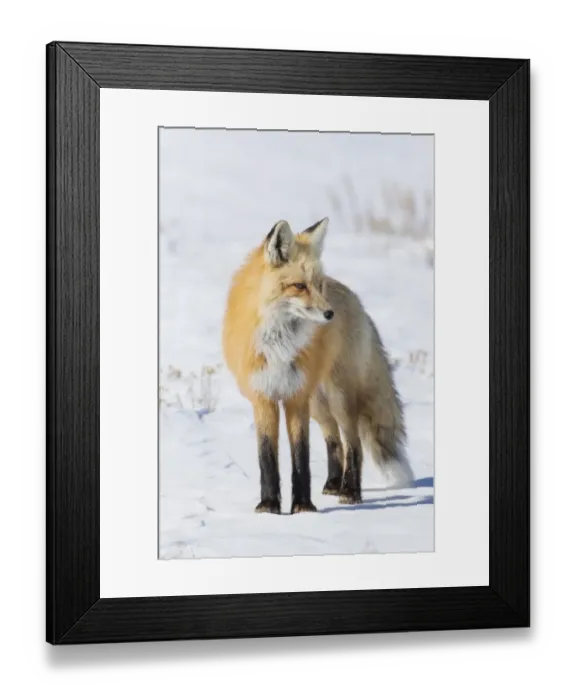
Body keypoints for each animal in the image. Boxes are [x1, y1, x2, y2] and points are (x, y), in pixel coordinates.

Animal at [222, 217, 414, 515]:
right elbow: (267, 458)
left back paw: (350, 492)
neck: (279, 343)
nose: (329, 314)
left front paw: (303, 507)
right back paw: (333, 484)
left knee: (353, 443)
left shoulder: (295, 396)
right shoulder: (263, 396)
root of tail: (354, 299)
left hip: (338, 396)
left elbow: (301, 456)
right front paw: (269, 506)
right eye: (299, 286)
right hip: (318, 403)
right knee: (333, 438)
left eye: (318, 284)